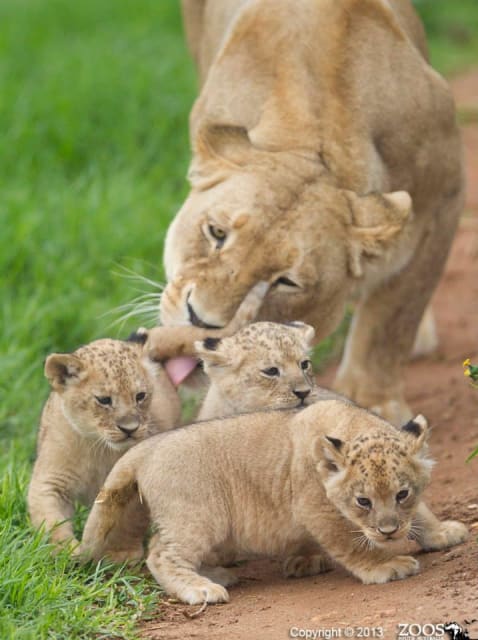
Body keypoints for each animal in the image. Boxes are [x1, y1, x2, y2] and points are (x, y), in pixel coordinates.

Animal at [80, 401, 468, 603]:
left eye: (402, 494)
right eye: (363, 501)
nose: (389, 532)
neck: (353, 423)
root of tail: (146, 447)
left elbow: (422, 513)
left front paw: (444, 533)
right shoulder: (316, 508)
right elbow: (351, 543)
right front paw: (384, 566)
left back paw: (216, 575)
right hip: (197, 515)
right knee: (161, 553)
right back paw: (201, 588)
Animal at [159, 0, 464, 425]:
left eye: (286, 282)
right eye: (216, 233)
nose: (201, 322)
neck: (312, 140)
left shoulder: (442, 199)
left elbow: (393, 319)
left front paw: (372, 403)